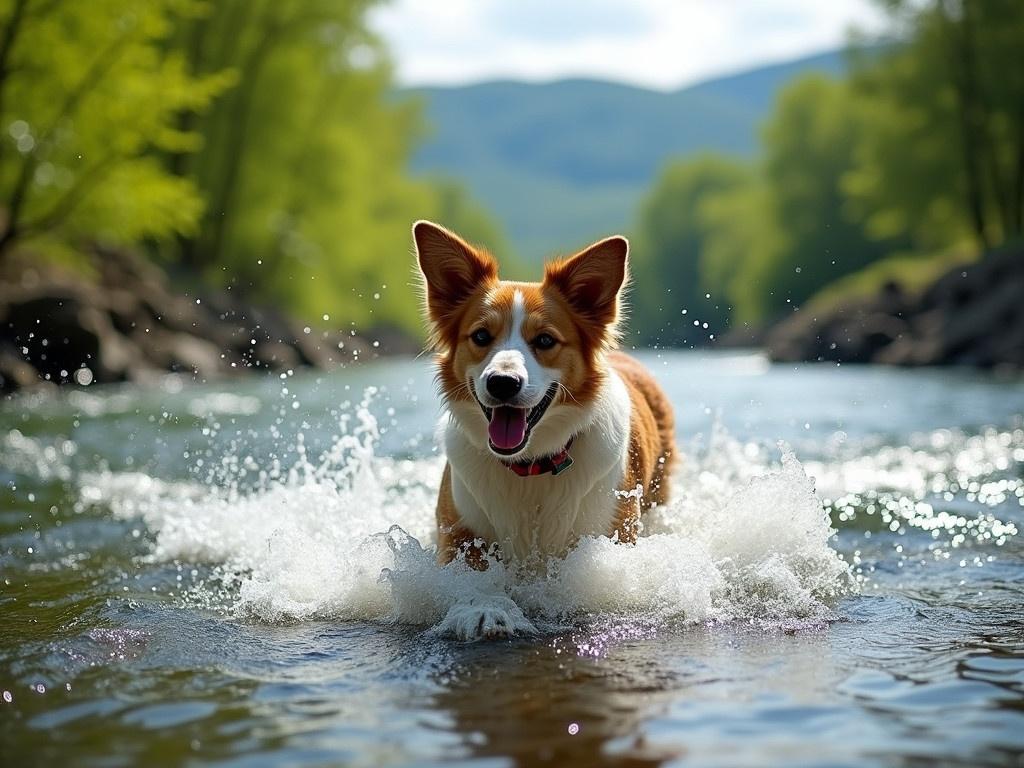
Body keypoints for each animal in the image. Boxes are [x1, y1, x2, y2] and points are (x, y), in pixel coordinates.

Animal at [411, 221, 675, 638]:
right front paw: (487, 609)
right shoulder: (458, 533)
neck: (530, 465)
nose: (503, 383)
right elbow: (471, 579)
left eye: (546, 340)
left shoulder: (610, 534)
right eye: (481, 336)